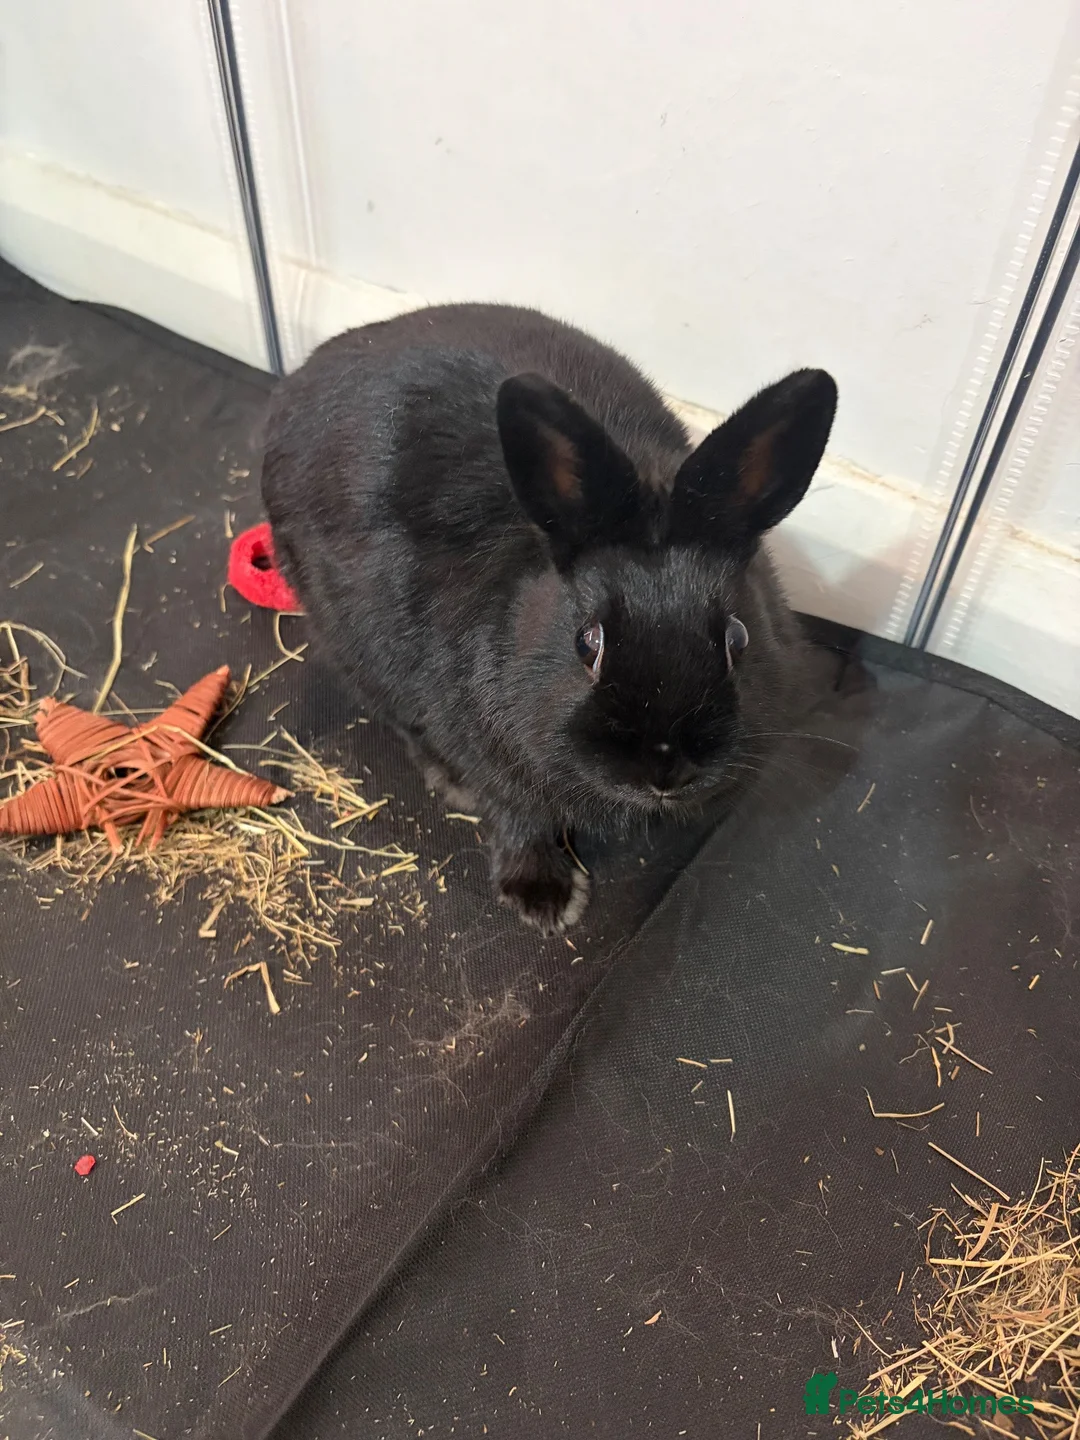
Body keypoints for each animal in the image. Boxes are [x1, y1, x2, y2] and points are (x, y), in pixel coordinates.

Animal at [261, 304, 836, 935]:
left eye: (737, 638)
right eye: (588, 643)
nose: (666, 769)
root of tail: (293, 387)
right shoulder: (495, 759)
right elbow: (521, 820)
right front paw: (546, 901)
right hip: (346, 636)